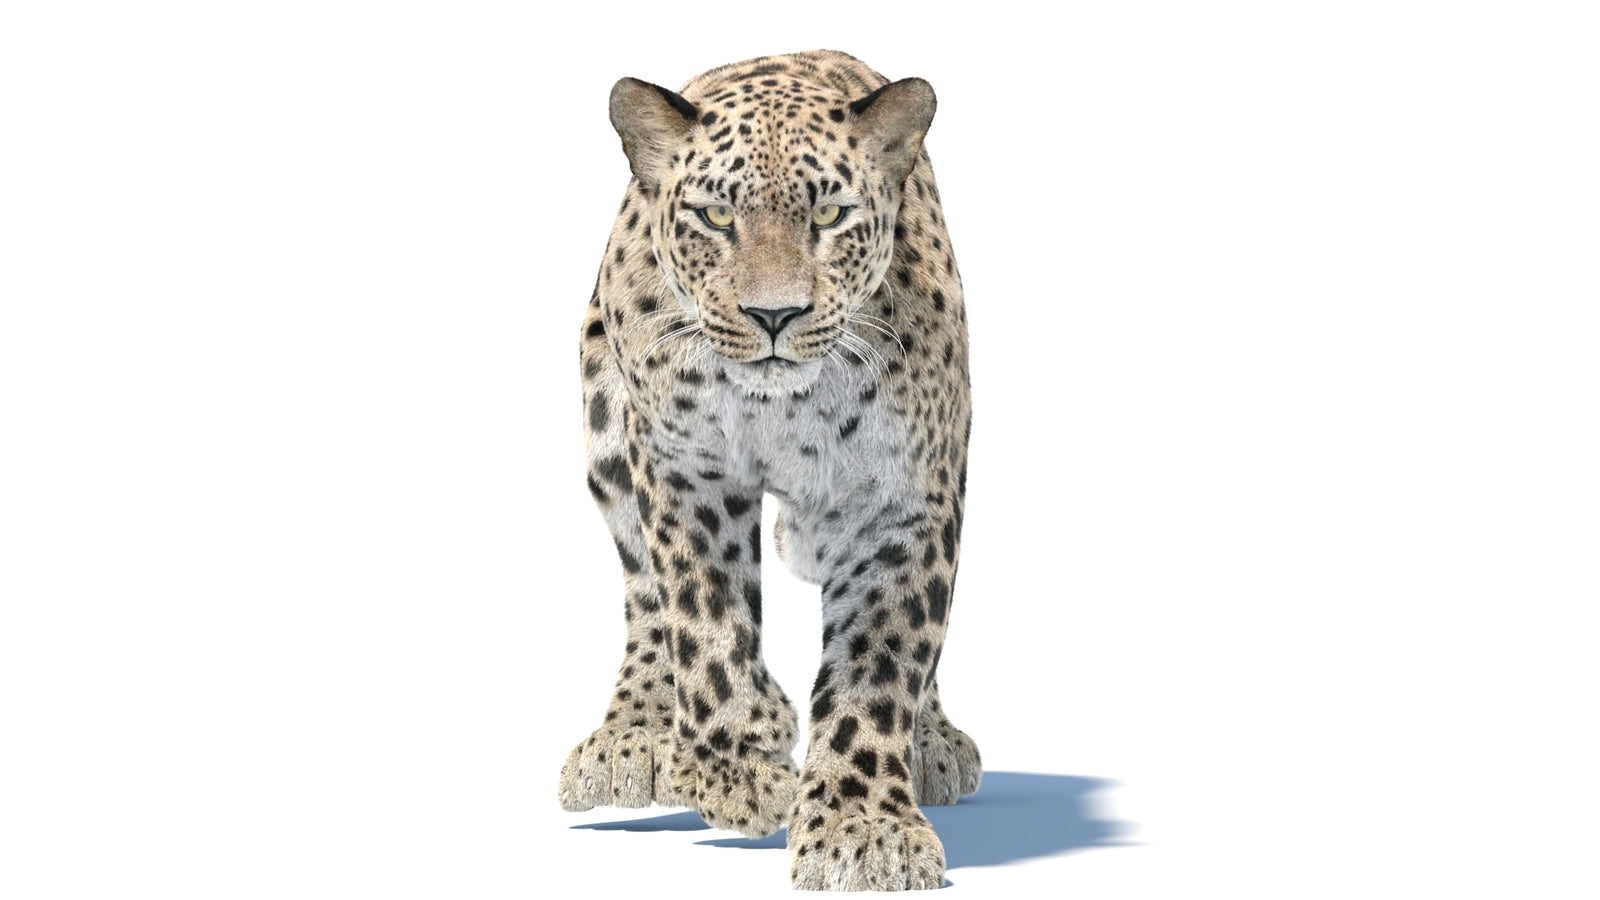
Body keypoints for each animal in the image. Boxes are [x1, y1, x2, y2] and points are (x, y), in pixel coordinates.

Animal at [557, 49, 980, 891]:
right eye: (718, 219)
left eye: (829, 217)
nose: (774, 316)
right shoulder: (686, 471)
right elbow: (704, 623)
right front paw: (737, 771)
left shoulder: (905, 500)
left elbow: (882, 662)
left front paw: (863, 828)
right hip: (608, 428)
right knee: (645, 596)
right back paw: (635, 738)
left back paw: (932, 741)